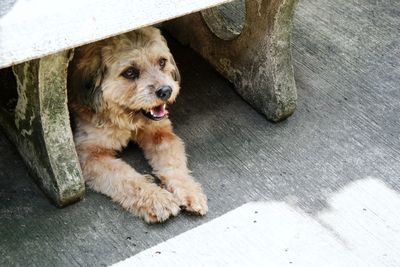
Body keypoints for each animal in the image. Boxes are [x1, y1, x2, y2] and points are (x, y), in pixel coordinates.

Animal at [67, 26, 208, 224]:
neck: (127, 117)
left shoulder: (160, 133)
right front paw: (157, 199)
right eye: (130, 72)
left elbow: (174, 165)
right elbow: (126, 177)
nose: (166, 91)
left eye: (162, 62)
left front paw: (189, 191)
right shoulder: (91, 153)